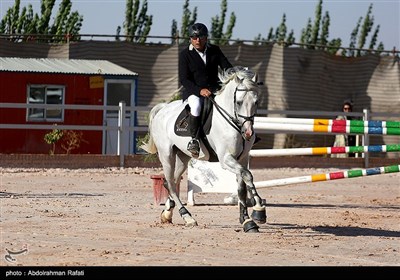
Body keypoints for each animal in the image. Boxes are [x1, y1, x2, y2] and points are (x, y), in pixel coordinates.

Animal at [142, 66, 268, 233]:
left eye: (256, 102)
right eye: (239, 102)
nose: (247, 133)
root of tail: (163, 108)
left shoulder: (242, 158)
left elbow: (242, 187)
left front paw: (247, 221)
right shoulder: (226, 159)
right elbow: (248, 175)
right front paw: (259, 210)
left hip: (182, 157)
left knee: (172, 182)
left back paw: (167, 213)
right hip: (166, 155)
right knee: (170, 183)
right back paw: (187, 217)